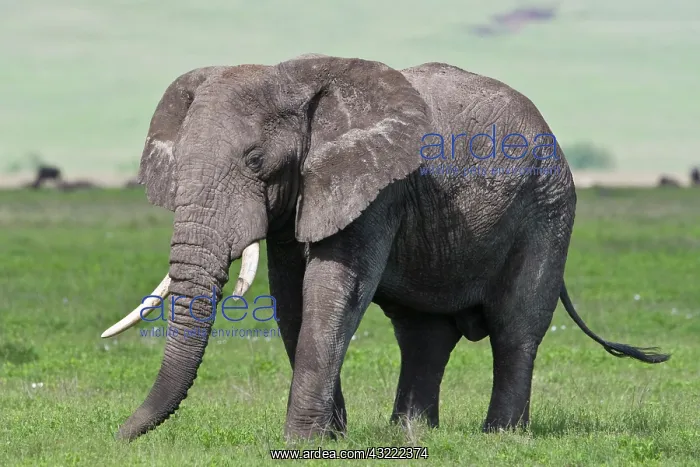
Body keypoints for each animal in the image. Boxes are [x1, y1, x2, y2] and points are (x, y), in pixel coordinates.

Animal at [101, 54, 670, 442]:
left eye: (256, 160)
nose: (117, 435)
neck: (294, 78)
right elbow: (291, 297)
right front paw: (330, 438)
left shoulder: (377, 188)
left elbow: (332, 288)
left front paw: (300, 443)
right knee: (424, 335)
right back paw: (411, 434)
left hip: (548, 209)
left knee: (517, 327)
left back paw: (501, 437)